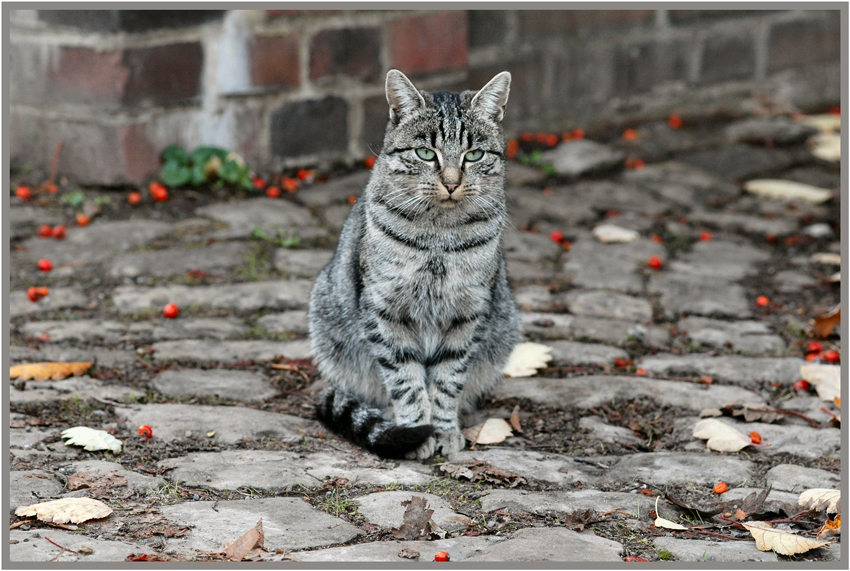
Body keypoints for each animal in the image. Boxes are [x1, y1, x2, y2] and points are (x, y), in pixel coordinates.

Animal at [304, 69, 516, 460]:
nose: (451, 183)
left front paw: (444, 430)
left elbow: (448, 381)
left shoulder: (468, 313)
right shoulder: (385, 310)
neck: (438, 237)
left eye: (474, 155)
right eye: (425, 153)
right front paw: (417, 432)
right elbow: (405, 380)